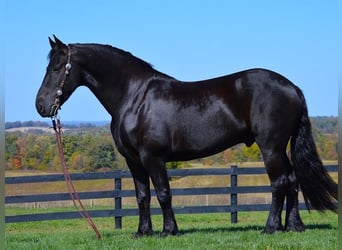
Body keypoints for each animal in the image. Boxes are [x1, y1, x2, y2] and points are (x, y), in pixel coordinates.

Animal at [35, 35, 336, 236]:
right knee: (293, 180)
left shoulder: (153, 157)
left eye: (56, 68)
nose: (41, 106)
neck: (134, 97)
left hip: (270, 147)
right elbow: (142, 196)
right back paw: (294, 226)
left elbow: (163, 193)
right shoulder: (134, 161)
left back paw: (271, 227)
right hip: (280, 147)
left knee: (280, 182)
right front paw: (143, 232)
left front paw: (169, 231)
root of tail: (292, 87)